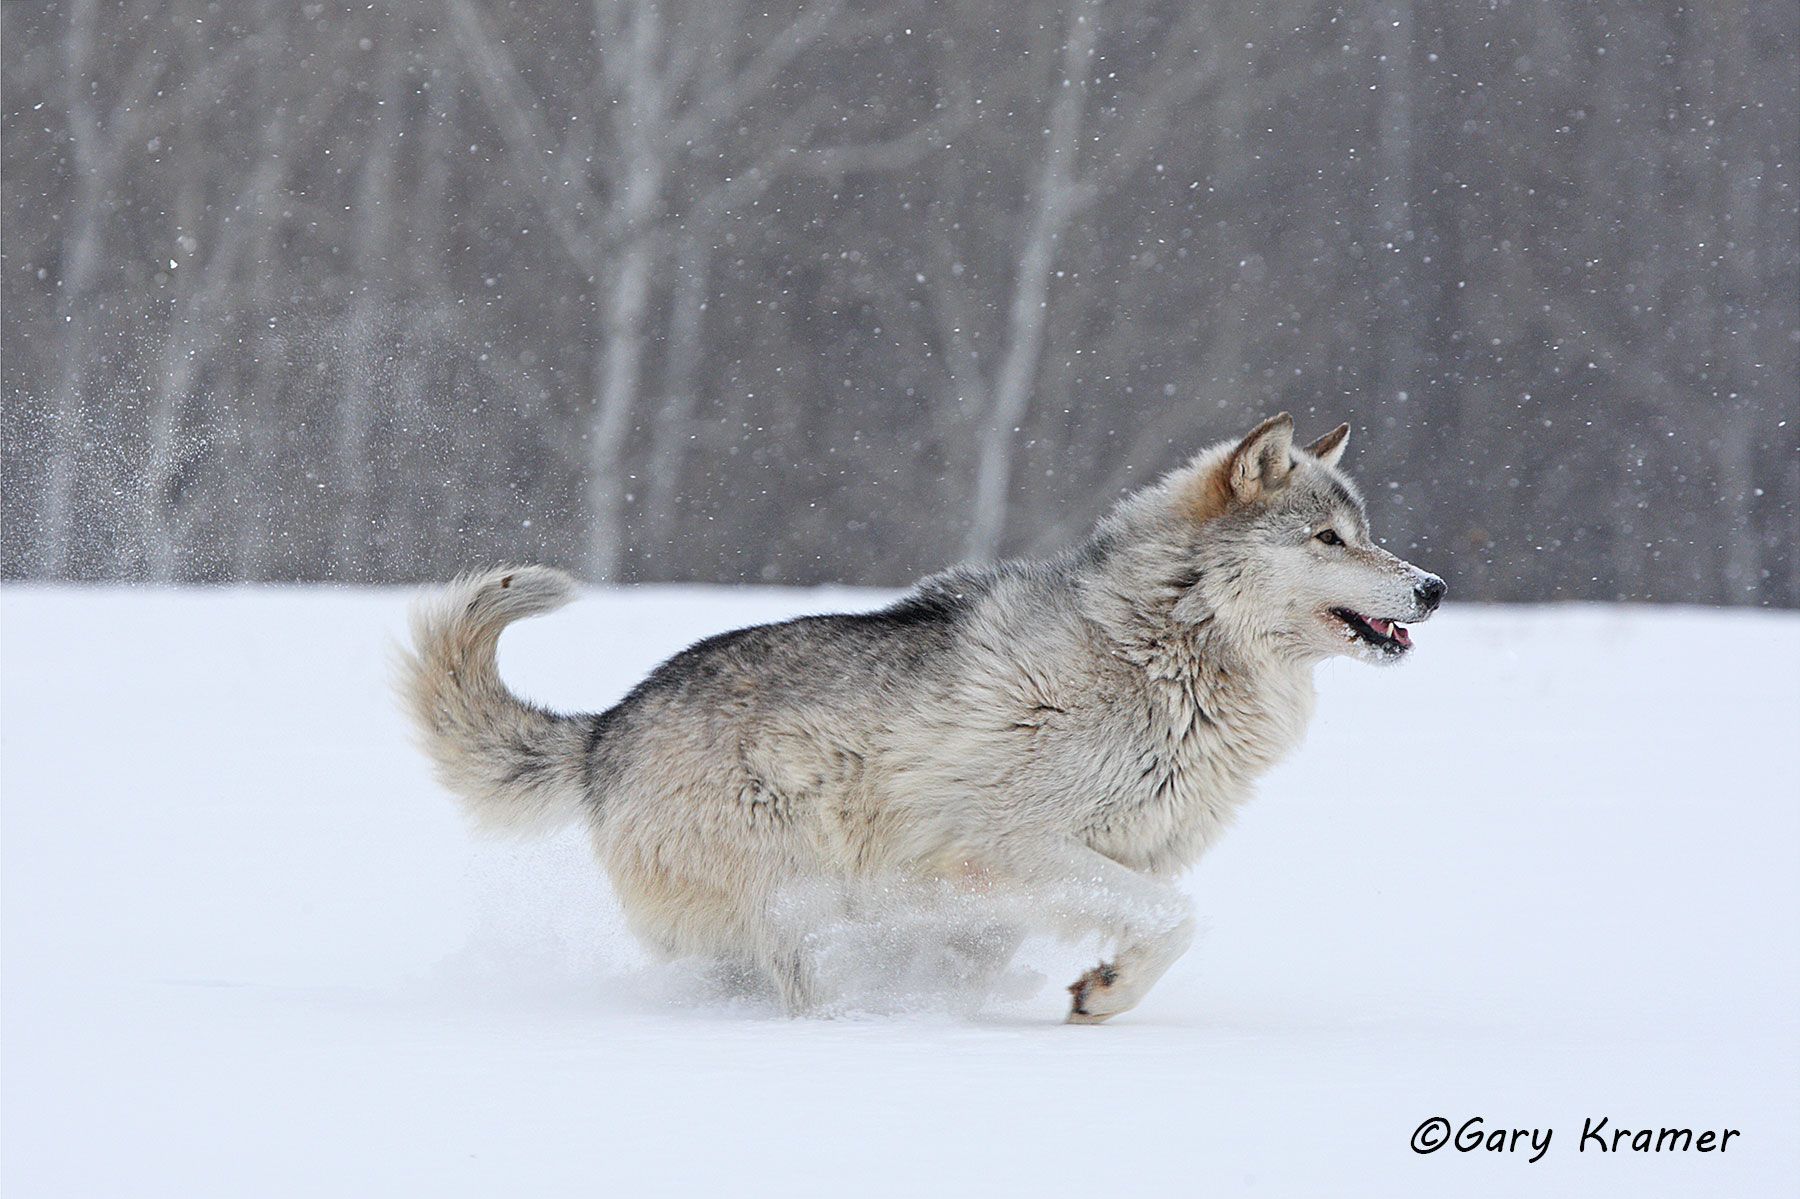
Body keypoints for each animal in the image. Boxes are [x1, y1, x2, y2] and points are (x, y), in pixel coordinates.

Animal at [399, 414, 1444, 1022]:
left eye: (1365, 532)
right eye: (1328, 538)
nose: (1433, 587)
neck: (1166, 651)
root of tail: (606, 726)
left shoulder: (1047, 881)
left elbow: (1110, 930)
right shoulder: (1014, 849)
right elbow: (1178, 919)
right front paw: (1105, 994)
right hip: (804, 905)